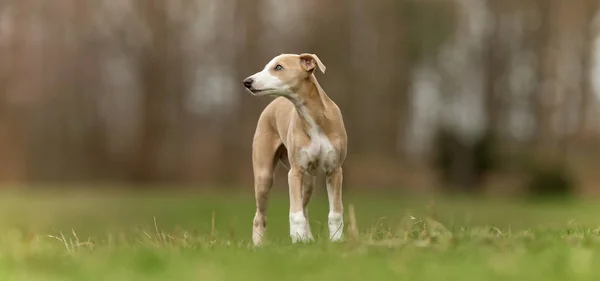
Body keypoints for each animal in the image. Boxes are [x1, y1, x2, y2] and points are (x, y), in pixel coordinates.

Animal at [243, 53, 346, 245]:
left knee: (304, 207)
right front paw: (297, 240)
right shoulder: (295, 172)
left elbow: (335, 212)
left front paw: (336, 240)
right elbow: (295, 214)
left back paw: (308, 238)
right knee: (259, 216)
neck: (313, 118)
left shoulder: (335, 170)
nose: (247, 82)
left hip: (309, 181)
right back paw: (259, 245)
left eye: (278, 67)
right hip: (264, 176)